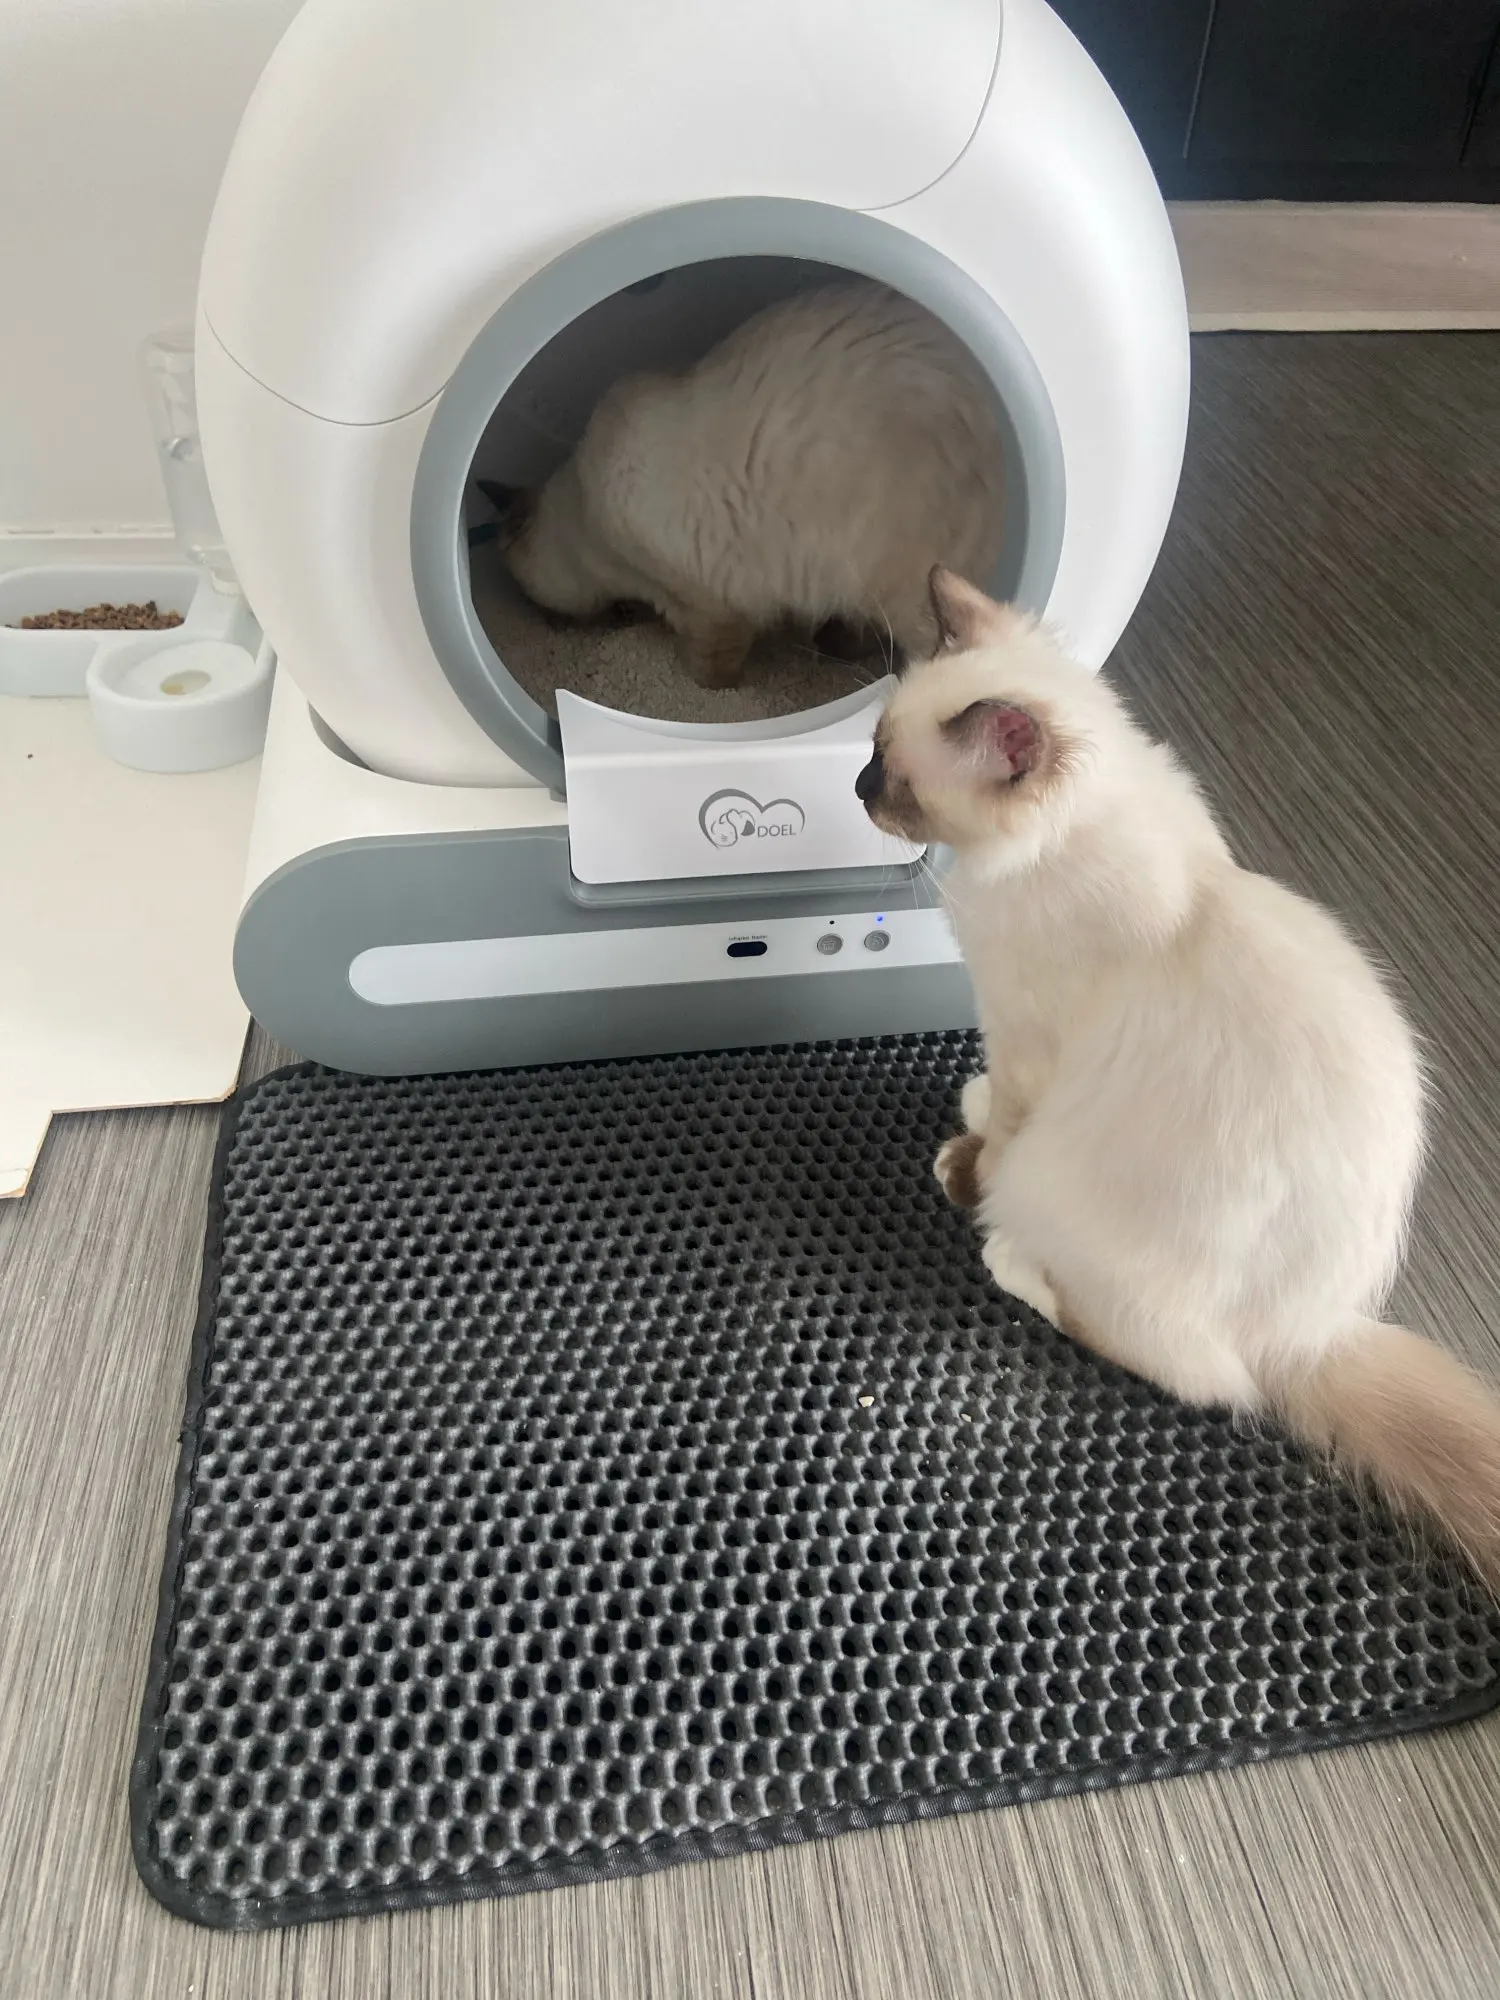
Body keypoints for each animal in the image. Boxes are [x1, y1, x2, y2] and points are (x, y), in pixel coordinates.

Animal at [857, 567, 1500, 1591]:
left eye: (895, 779)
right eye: (871, 749)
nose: (855, 789)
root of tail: (1317, 1328)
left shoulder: (1025, 1037)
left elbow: (999, 1132)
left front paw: (963, 1164)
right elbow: (991, 1099)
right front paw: (969, 1106)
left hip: (1068, 1195)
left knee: (1200, 1376)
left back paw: (1011, 1261)